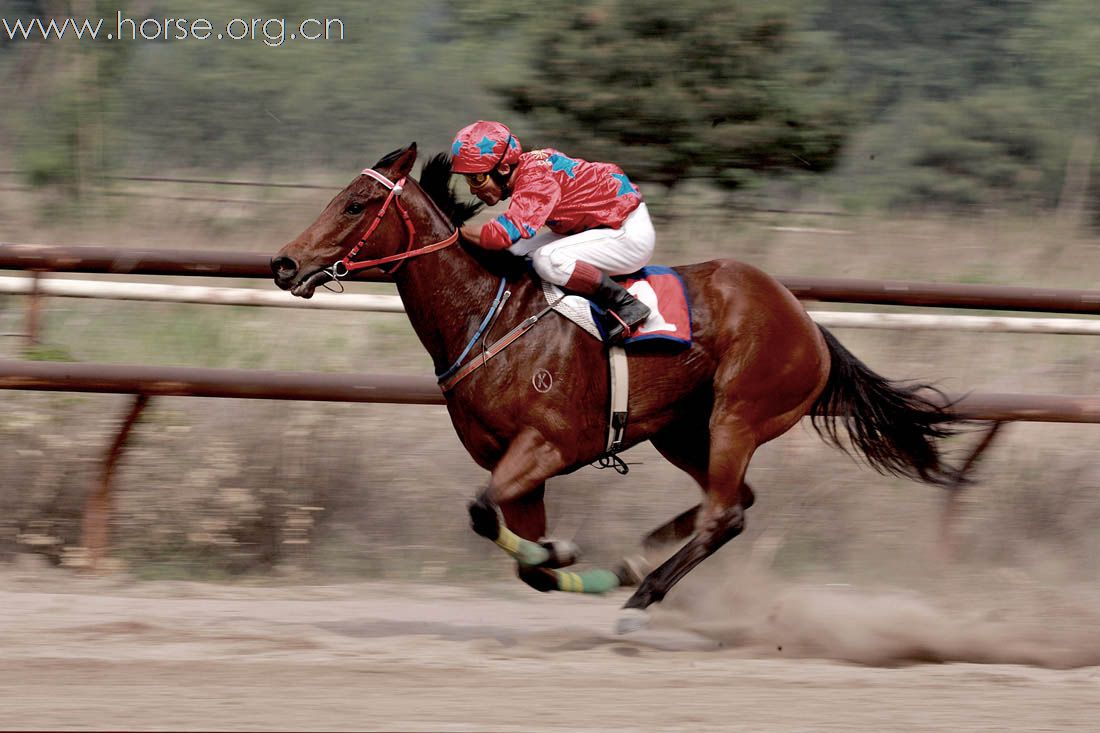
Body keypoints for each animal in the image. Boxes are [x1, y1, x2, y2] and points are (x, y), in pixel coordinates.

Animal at [268, 144, 954, 629]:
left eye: (355, 204)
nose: (283, 263)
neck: (487, 316)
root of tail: (807, 323)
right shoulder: (516, 468)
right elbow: (519, 551)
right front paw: (560, 560)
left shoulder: (544, 447)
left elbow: (483, 512)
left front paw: (564, 558)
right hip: (682, 430)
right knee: (735, 500)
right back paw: (635, 560)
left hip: (737, 415)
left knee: (725, 514)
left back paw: (640, 597)